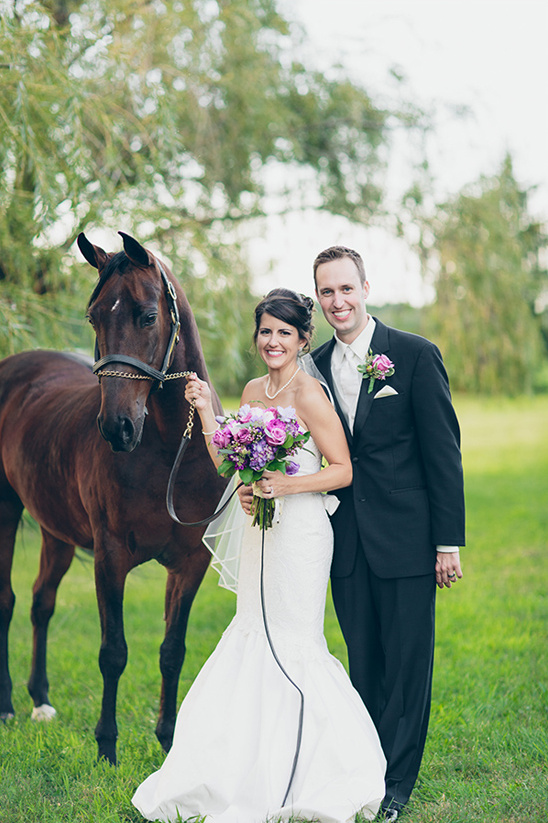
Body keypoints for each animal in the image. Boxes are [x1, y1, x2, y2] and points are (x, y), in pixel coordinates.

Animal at [0, 232, 225, 768]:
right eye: (93, 317)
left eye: (148, 315)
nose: (117, 428)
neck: (171, 450)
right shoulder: (111, 555)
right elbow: (113, 652)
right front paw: (107, 748)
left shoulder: (191, 561)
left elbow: (172, 651)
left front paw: (168, 741)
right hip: (6, 510)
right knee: (9, 599)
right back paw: (8, 706)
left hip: (56, 531)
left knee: (41, 602)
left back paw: (41, 702)